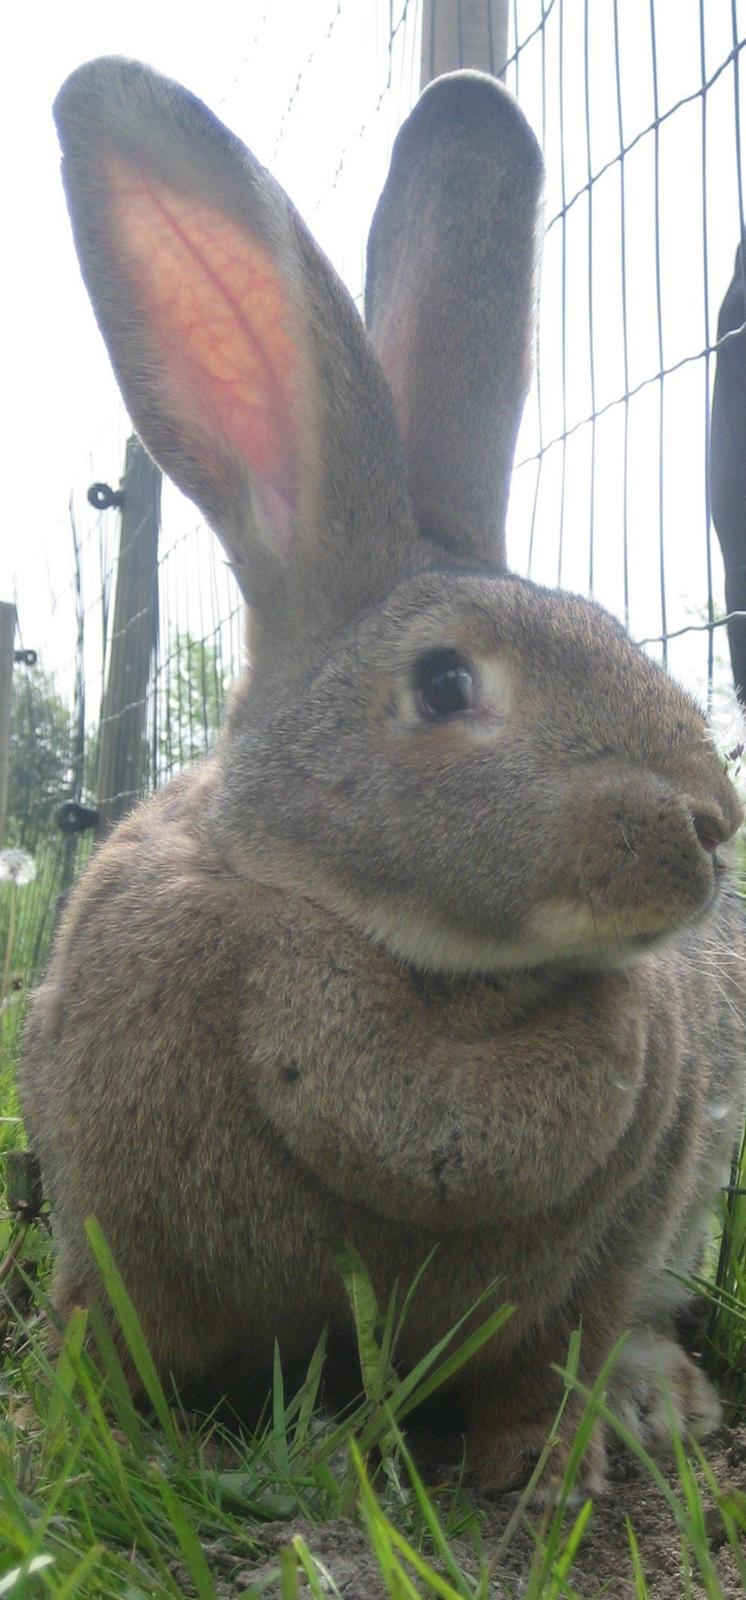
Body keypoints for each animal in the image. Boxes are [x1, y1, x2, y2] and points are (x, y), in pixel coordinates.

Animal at [20, 53, 746, 1497]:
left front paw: (544, 1465)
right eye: (447, 686)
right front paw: (79, 1431)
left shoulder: (608, 1248)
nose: (710, 823)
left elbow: (550, 1357)